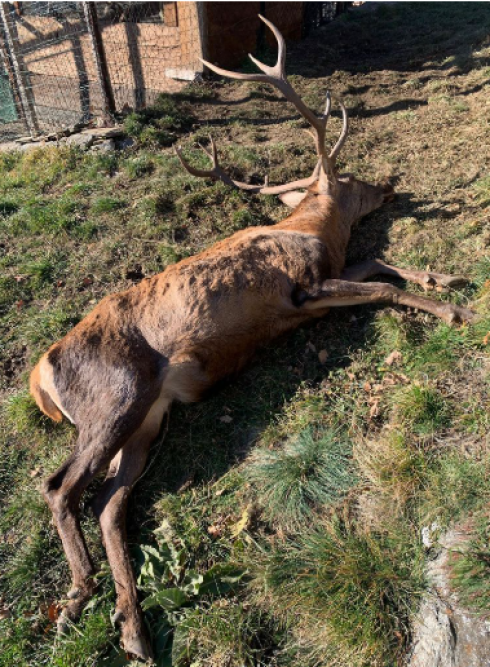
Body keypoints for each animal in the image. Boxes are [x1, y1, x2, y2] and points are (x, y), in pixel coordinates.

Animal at [29, 15, 475, 662]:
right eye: (354, 179)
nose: (390, 186)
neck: (313, 232)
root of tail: (38, 376)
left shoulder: (323, 280)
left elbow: (380, 262)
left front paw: (447, 277)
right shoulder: (301, 291)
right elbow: (382, 286)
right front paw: (452, 307)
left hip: (149, 417)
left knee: (110, 503)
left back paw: (134, 626)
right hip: (116, 392)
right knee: (60, 487)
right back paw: (77, 599)